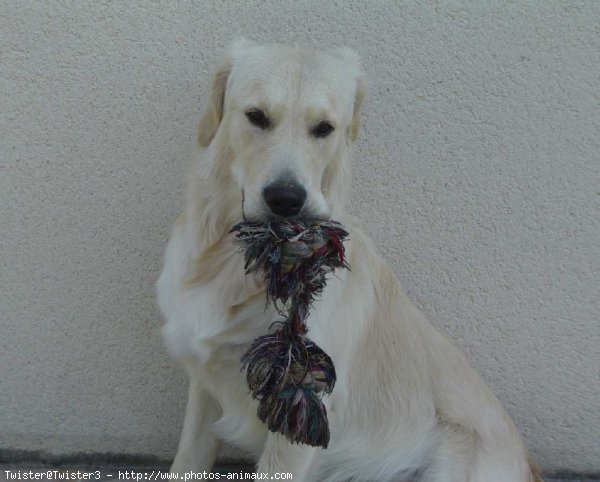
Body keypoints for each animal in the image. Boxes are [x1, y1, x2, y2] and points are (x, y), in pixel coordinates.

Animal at [156, 40, 544, 482]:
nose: (286, 200)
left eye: (324, 128)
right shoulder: (205, 381)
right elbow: (187, 458)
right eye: (256, 116)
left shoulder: (298, 411)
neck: (232, 265)